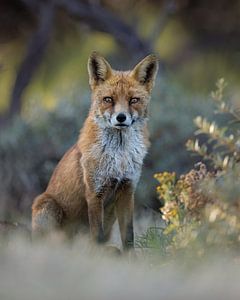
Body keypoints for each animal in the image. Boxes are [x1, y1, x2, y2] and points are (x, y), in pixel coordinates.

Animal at [31, 52, 159, 251]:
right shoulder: (95, 192)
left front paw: (130, 257)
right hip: (48, 206)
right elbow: (97, 235)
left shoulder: (127, 191)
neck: (118, 157)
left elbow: (128, 237)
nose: (121, 117)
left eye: (133, 100)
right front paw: (96, 256)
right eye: (108, 99)